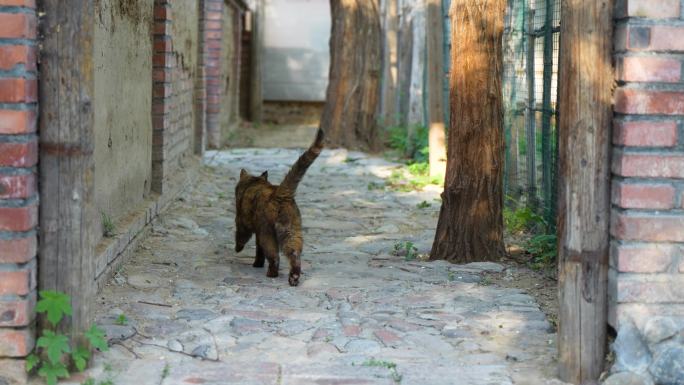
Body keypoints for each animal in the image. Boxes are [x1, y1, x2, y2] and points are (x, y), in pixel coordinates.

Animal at [234, 128, 324, 284]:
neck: (253, 183)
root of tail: (280, 193)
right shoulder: (257, 232)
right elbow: (258, 250)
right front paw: (258, 263)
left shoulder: (243, 222)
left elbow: (242, 237)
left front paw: (238, 249)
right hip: (291, 231)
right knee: (294, 253)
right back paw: (294, 277)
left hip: (268, 233)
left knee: (274, 256)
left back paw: (272, 273)